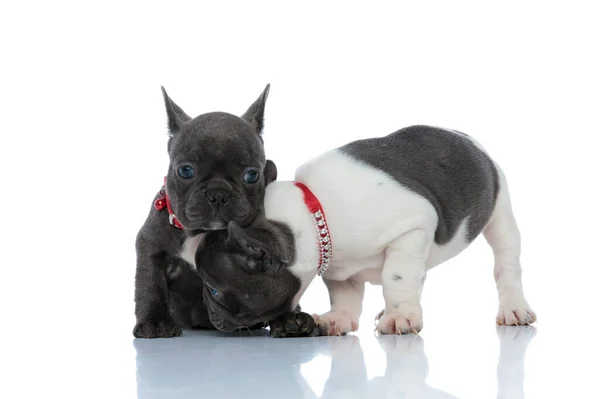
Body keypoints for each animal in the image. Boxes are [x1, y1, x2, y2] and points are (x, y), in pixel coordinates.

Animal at [132, 83, 278, 338]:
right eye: (186, 171)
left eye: (252, 175)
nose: (218, 194)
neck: (201, 232)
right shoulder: (151, 247)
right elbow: (150, 283)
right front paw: (154, 322)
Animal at [195, 124, 536, 334]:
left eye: (214, 290)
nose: (208, 313)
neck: (310, 214)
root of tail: (464, 136)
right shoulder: (337, 267)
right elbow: (345, 293)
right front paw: (338, 319)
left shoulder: (412, 228)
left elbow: (396, 277)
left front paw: (400, 317)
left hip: (500, 212)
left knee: (506, 265)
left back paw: (514, 309)